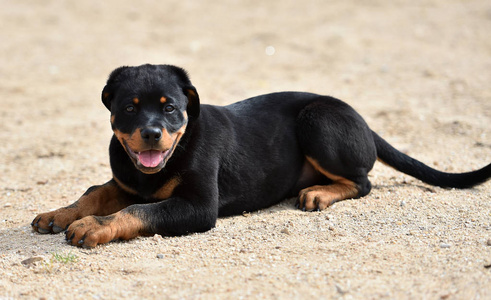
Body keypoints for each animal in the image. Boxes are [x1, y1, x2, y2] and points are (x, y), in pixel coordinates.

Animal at [31, 64, 491, 247]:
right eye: (129, 107)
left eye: (170, 108)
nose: (151, 133)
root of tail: (357, 116)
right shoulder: (125, 180)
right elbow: (94, 192)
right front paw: (58, 214)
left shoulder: (198, 206)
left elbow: (137, 211)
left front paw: (93, 227)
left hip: (316, 120)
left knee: (363, 182)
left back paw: (319, 193)